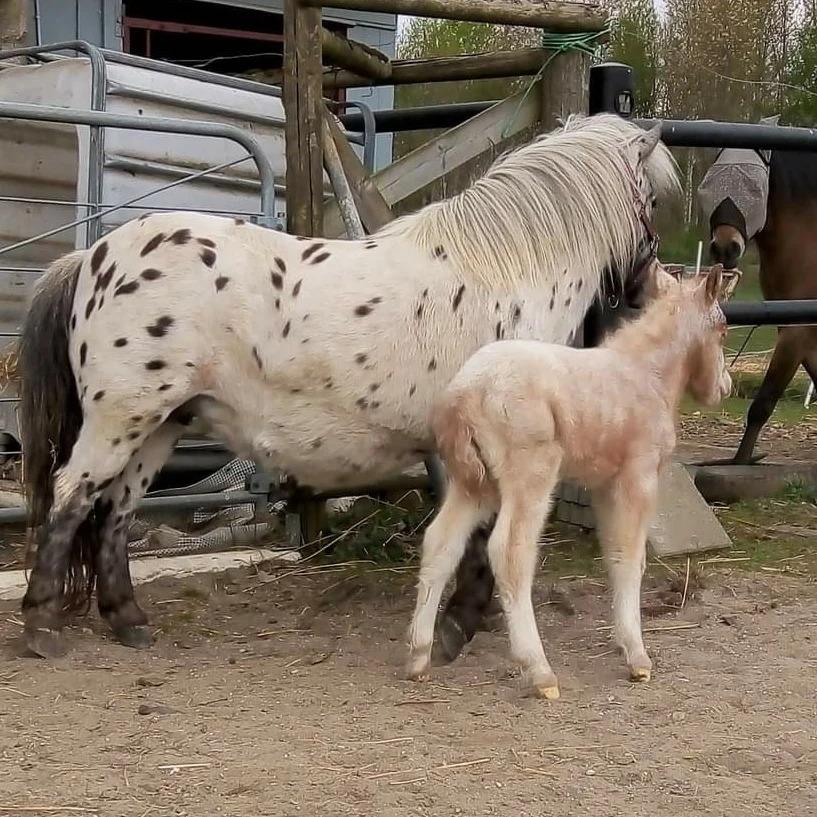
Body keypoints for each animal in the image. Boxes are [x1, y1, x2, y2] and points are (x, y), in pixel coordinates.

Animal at [17, 113, 676, 656]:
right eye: (650, 199)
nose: (648, 284)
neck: (507, 273)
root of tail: (93, 258)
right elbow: (486, 537)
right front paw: (460, 624)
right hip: (121, 419)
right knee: (73, 494)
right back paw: (42, 627)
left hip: (159, 425)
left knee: (115, 510)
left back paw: (128, 621)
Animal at [404, 266, 728, 696]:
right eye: (723, 329)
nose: (724, 387)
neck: (647, 374)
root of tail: (463, 393)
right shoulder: (638, 476)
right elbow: (632, 558)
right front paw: (637, 657)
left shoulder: (604, 483)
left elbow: (614, 554)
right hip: (531, 472)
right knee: (510, 551)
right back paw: (539, 671)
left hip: (473, 482)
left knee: (440, 543)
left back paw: (419, 656)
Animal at [700, 149, 816, 462]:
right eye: (709, 181)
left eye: (753, 187)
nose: (725, 248)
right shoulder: (794, 332)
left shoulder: (797, 332)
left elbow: (762, 403)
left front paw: (740, 462)